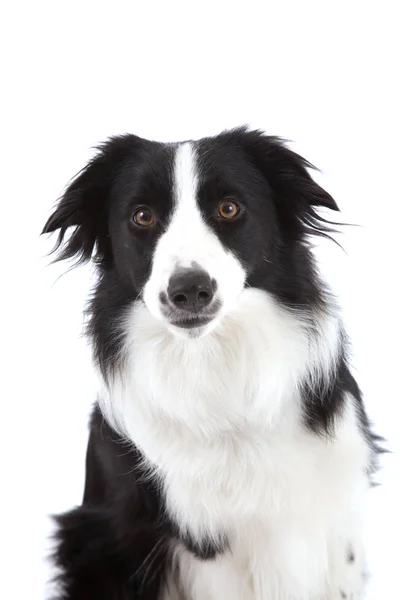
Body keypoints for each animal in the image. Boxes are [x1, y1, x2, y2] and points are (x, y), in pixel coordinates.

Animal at [42, 127, 380, 600]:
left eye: (229, 208)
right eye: (142, 216)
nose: (189, 290)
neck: (217, 366)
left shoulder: (335, 516)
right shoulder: (205, 541)